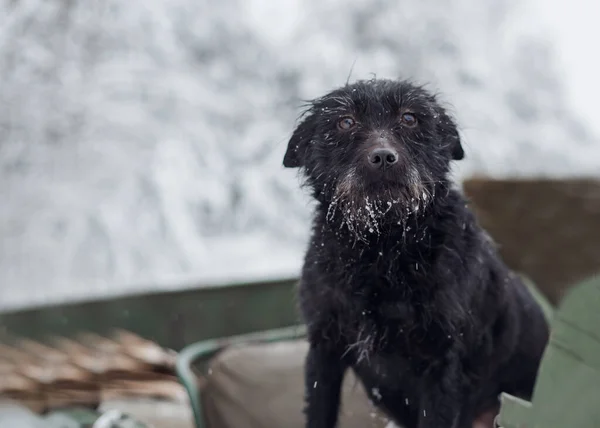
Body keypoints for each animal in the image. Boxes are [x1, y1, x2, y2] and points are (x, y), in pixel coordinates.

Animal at [284, 78, 552, 426]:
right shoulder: (324, 348)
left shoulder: (440, 366)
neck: (382, 246)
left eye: (410, 118)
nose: (383, 157)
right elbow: (319, 411)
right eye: (345, 122)